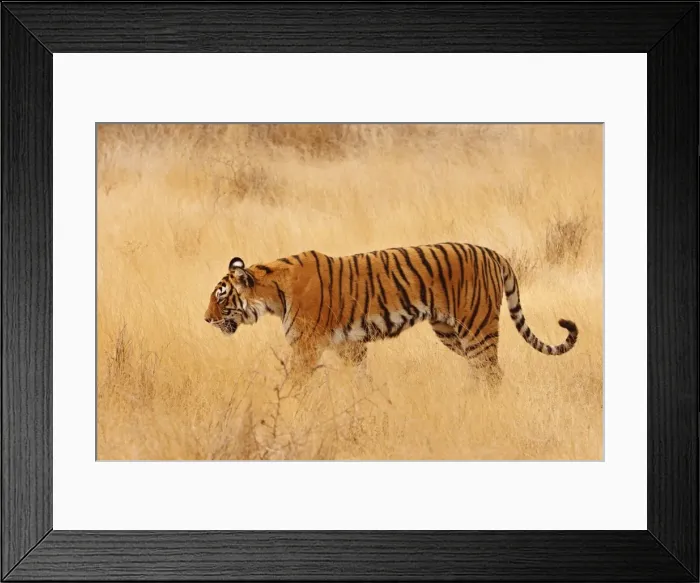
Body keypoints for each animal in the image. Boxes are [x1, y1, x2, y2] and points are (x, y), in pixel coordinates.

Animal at [204, 243, 578, 387]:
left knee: (492, 373)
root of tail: (494, 253)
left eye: (220, 297)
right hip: (449, 331)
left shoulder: (305, 348)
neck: (271, 294)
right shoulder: (349, 346)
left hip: (477, 327)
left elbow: (294, 384)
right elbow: (360, 381)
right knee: (484, 371)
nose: (206, 319)